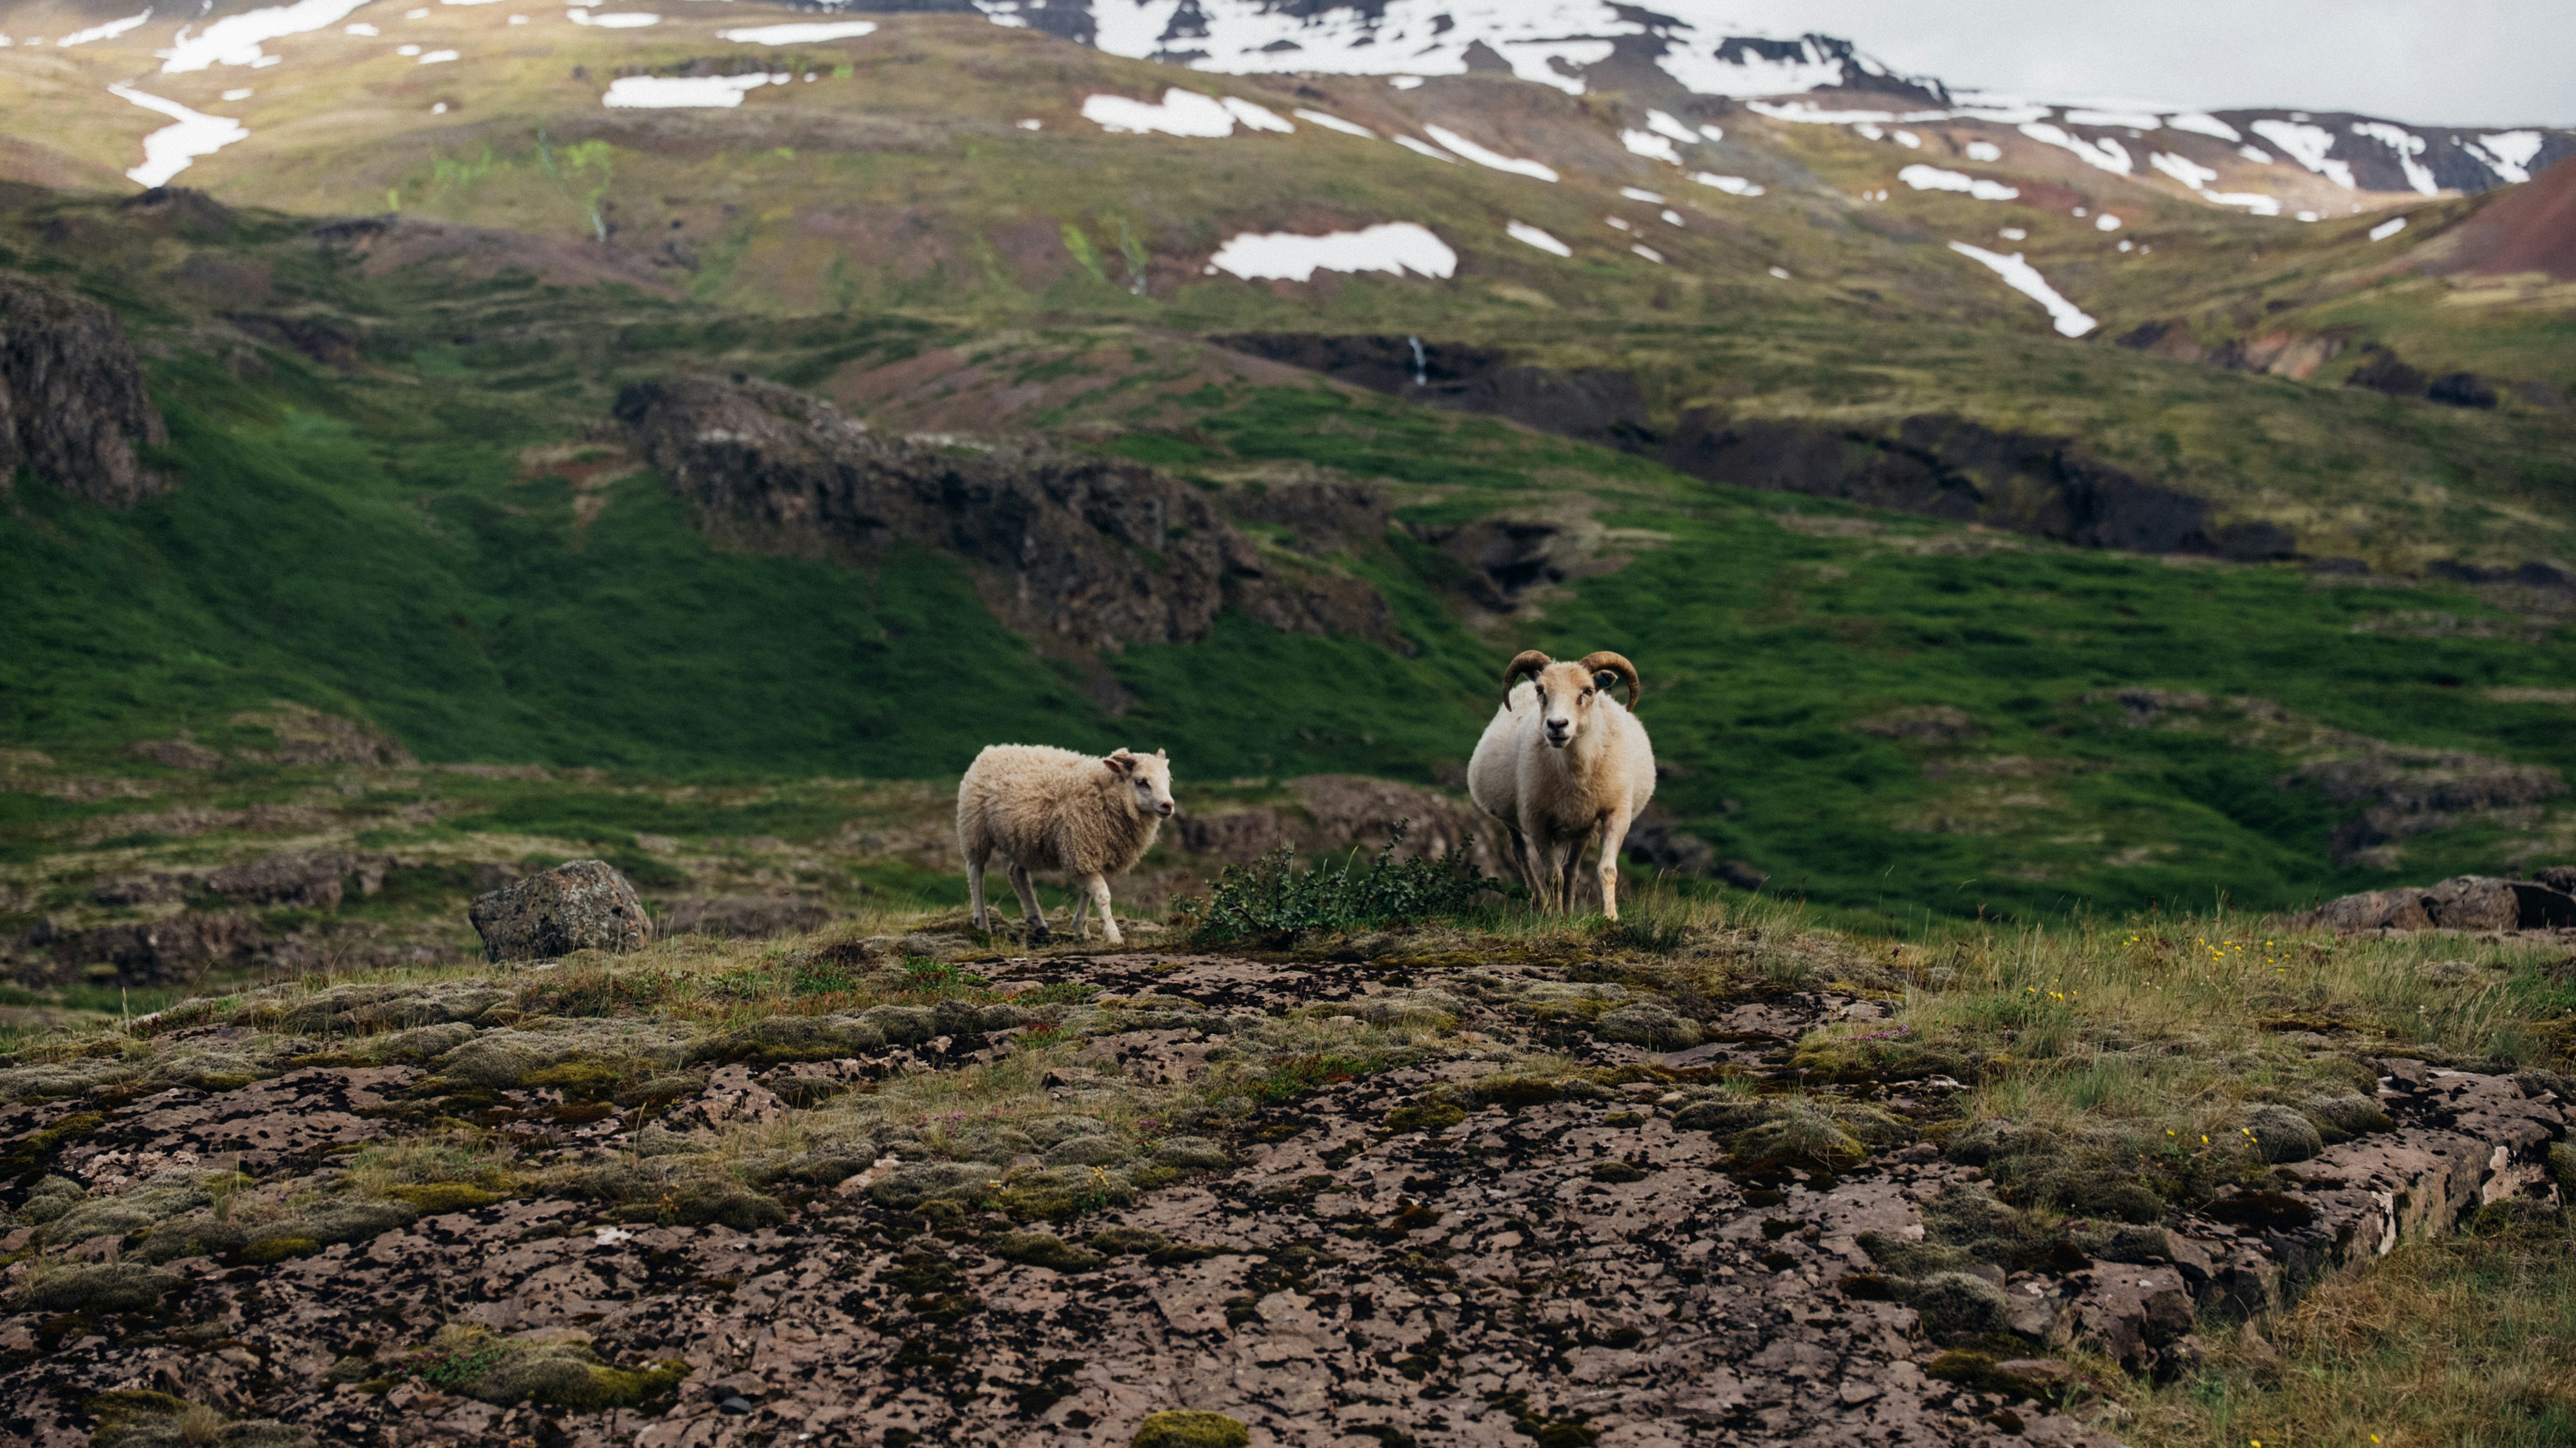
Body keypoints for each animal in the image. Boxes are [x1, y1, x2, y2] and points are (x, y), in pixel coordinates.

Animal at [958, 744, 1174, 945]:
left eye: (1168, 779)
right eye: (1141, 781)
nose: (1168, 805)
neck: (1103, 790)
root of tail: (992, 751)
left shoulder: (1087, 852)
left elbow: (1088, 892)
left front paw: (1080, 928)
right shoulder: (1080, 848)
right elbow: (1103, 895)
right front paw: (1113, 935)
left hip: (1023, 840)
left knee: (1016, 873)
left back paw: (1039, 924)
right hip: (975, 828)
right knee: (976, 872)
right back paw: (982, 923)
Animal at [1467, 650, 1655, 918]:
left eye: (1588, 690)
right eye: (1541, 690)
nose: (1557, 725)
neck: (1576, 769)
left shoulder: (1616, 813)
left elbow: (1607, 870)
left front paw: (1610, 917)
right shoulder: (1537, 822)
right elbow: (1553, 876)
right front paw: (1554, 917)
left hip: (1582, 825)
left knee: (1571, 869)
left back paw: (1568, 910)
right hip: (1511, 818)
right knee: (1521, 855)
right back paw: (1543, 906)